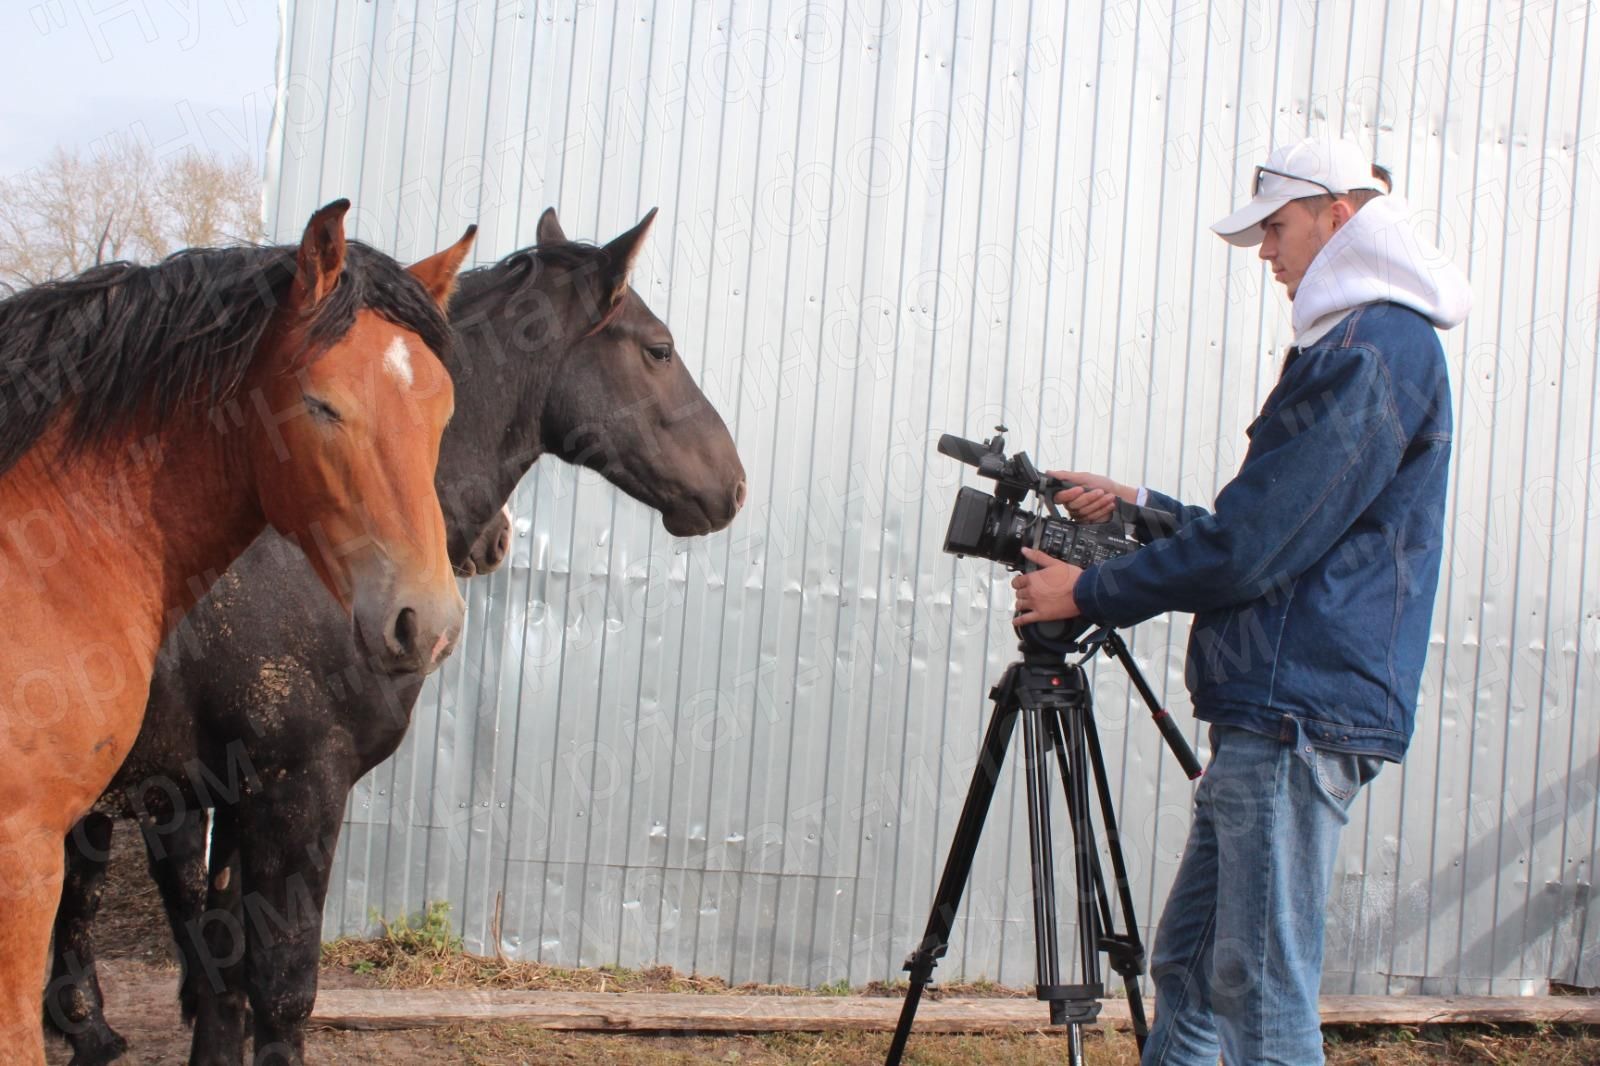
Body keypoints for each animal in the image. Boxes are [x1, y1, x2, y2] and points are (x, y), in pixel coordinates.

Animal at [46, 209, 745, 1062]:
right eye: (658, 349)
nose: (733, 485)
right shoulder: (294, 790)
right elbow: (277, 992)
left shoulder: (226, 802)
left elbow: (222, 981)